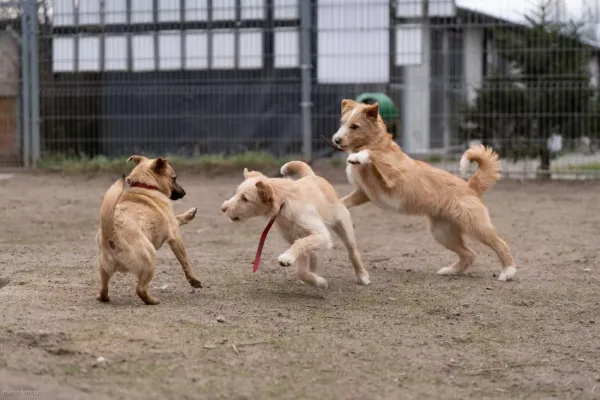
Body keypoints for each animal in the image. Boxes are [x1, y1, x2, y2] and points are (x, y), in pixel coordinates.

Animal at [95, 155, 202, 304]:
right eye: (174, 178)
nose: (184, 193)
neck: (145, 186)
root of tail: (111, 233)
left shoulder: (173, 223)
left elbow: (179, 218)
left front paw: (190, 213)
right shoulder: (174, 236)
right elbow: (185, 262)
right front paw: (193, 280)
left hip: (103, 268)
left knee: (103, 289)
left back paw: (103, 297)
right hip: (150, 258)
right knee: (140, 289)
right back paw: (152, 301)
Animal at [220, 161, 370, 290]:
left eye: (245, 198)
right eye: (237, 193)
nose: (223, 208)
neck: (284, 202)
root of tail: (311, 175)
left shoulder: (320, 235)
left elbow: (301, 245)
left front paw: (287, 258)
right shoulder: (296, 237)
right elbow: (301, 270)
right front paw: (318, 281)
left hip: (343, 227)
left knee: (352, 252)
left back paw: (362, 276)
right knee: (313, 256)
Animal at [330, 99, 516, 282]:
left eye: (354, 126)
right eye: (342, 123)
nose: (336, 140)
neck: (376, 143)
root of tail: (470, 186)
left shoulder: (392, 178)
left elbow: (373, 155)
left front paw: (359, 156)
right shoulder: (363, 193)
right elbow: (343, 202)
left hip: (476, 226)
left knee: (501, 244)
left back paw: (508, 271)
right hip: (442, 233)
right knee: (469, 254)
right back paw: (451, 270)